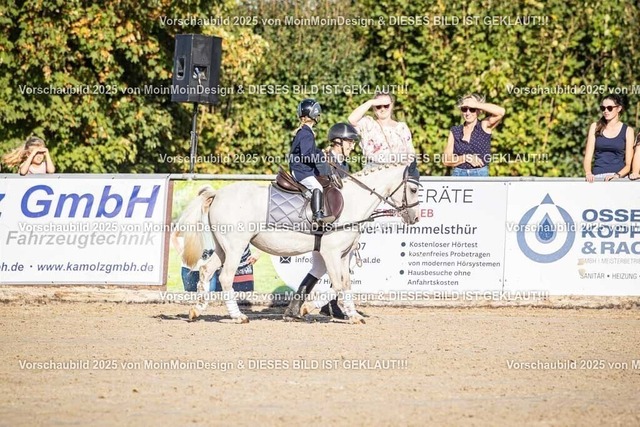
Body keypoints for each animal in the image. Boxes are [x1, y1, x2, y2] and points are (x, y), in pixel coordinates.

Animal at [181, 161, 421, 324]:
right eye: (413, 189)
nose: (415, 218)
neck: (353, 202)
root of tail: (217, 194)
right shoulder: (331, 253)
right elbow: (338, 284)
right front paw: (330, 312)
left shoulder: (343, 255)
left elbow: (345, 284)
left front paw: (351, 314)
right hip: (235, 247)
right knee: (225, 277)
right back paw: (238, 316)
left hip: (223, 248)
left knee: (206, 270)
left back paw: (197, 309)